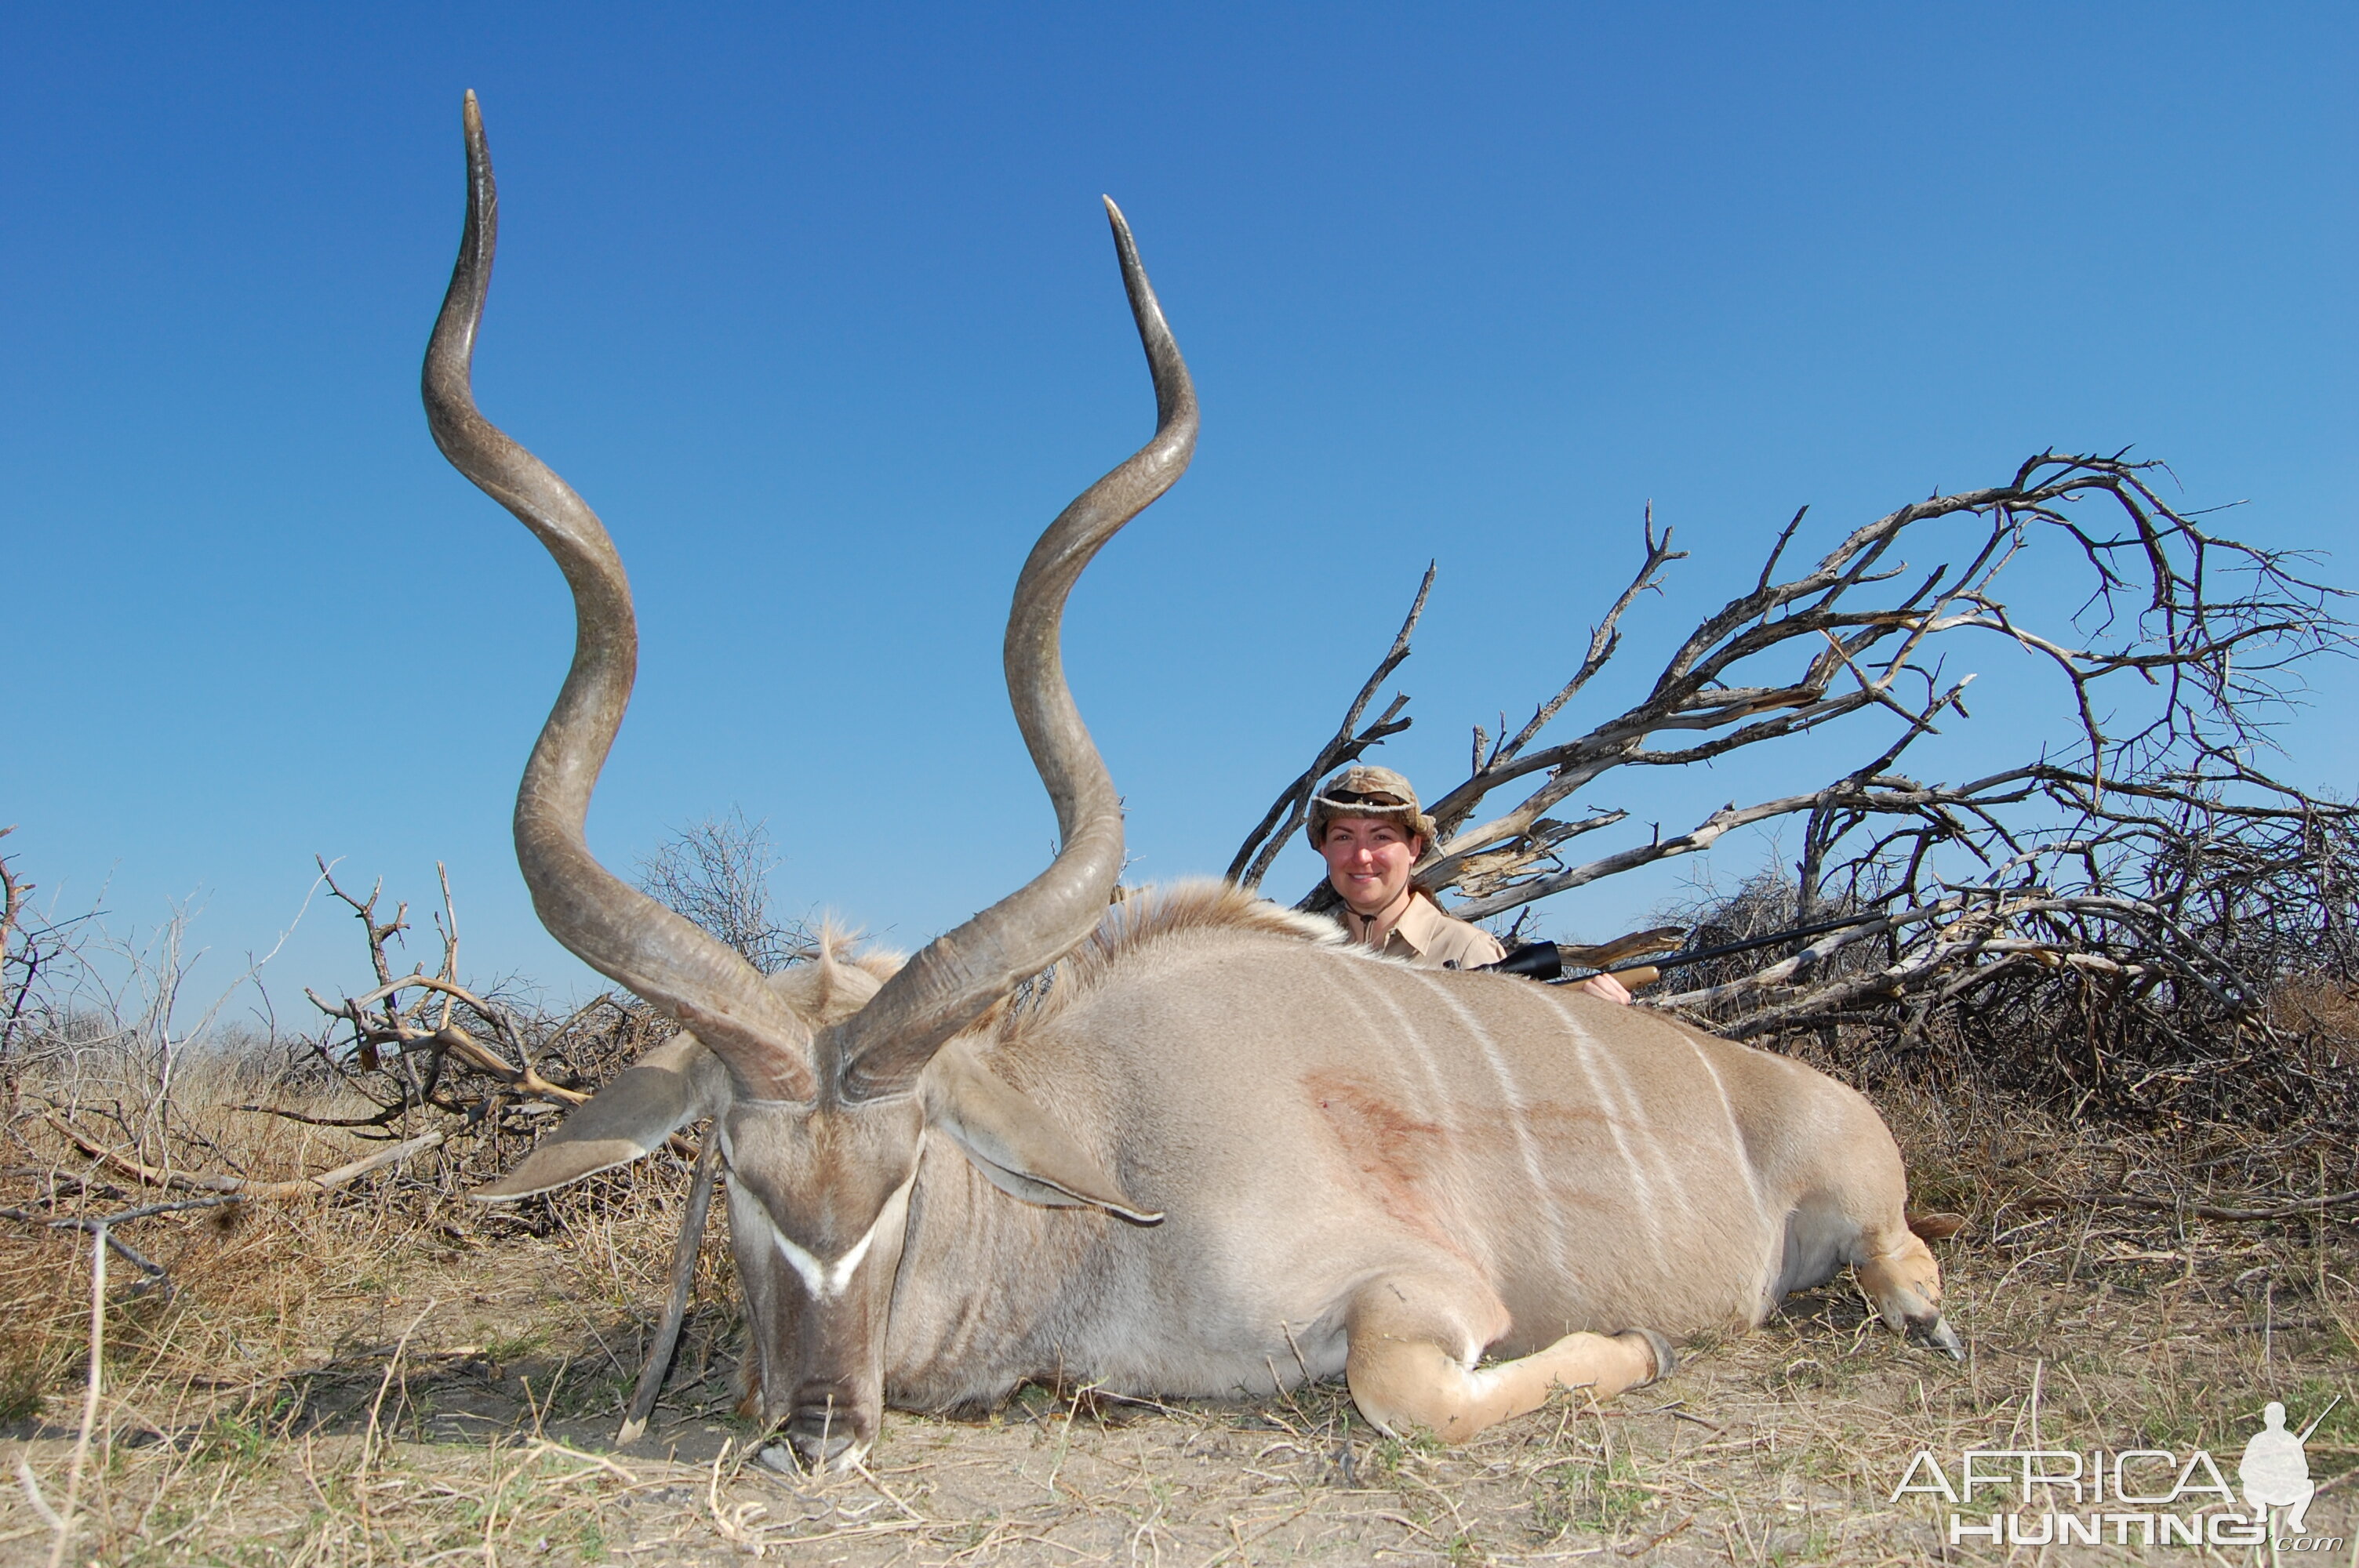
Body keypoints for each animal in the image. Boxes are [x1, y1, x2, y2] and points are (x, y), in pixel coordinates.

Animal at [434, 95, 1962, 1471]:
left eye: (907, 1167)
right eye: (740, 1180)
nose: (814, 1428)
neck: (1101, 1159)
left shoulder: (1414, 1296)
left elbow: (1407, 1390)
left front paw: (1637, 1343)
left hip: (1863, 1193)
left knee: (1899, 1252)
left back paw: (1919, 1316)